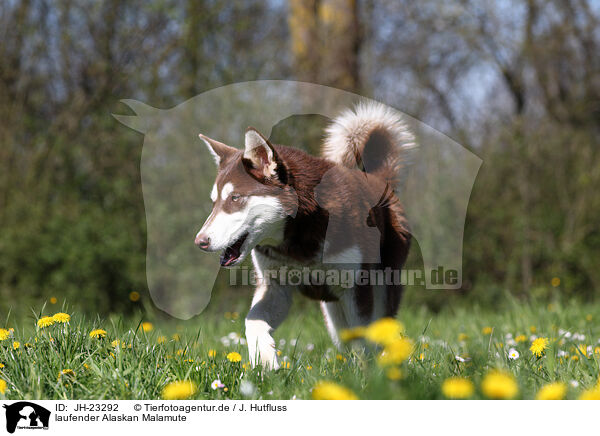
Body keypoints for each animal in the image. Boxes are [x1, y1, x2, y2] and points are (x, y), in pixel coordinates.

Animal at [196, 101, 412, 368]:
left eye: (235, 198)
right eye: (214, 202)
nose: (200, 241)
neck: (296, 240)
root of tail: (379, 179)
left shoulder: (356, 287)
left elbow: (365, 340)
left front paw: (370, 375)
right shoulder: (275, 286)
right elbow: (253, 322)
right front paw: (265, 360)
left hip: (382, 286)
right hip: (333, 314)